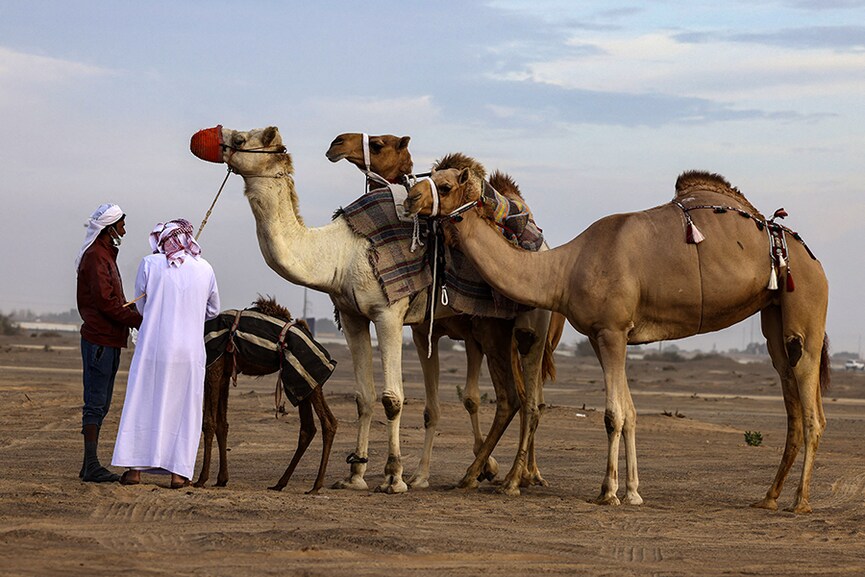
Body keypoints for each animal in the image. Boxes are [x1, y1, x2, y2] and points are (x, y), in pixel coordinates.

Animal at [194, 294, 336, 492]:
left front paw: (201, 479)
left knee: (327, 423)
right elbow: (222, 424)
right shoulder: (225, 373)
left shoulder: (213, 366)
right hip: (301, 384)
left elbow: (209, 422)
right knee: (310, 427)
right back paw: (280, 483)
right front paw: (222, 479)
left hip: (305, 378)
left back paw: (315, 485)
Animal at [322, 133, 560, 492]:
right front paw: (421, 475)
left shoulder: (468, 333)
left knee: (525, 399)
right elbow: (437, 408)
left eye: (378, 144)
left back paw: (518, 475)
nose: (336, 143)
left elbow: (470, 398)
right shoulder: (428, 331)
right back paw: (515, 473)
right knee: (526, 398)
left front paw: (484, 467)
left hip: (523, 335)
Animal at [404, 164, 832, 510]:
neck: (563, 269)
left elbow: (613, 414)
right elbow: (629, 413)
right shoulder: (605, 335)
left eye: (444, 184)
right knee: (791, 397)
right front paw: (633, 492)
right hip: (774, 314)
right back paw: (769, 497)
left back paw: (800, 501)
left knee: (812, 409)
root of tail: (811, 257)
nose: (410, 197)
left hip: (806, 304)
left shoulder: (611, 331)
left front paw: (607, 492)